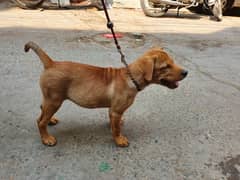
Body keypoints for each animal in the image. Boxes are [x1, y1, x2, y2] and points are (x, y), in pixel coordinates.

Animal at [25, 41, 188, 147]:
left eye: (173, 62)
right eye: (166, 67)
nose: (186, 72)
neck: (131, 77)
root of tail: (51, 63)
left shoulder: (113, 110)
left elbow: (114, 124)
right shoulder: (116, 111)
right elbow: (116, 129)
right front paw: (119, 140)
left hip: (50, 98)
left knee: (42, 110)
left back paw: (51, 121)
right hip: (55, 100)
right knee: (40, 121)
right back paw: (46, 138)